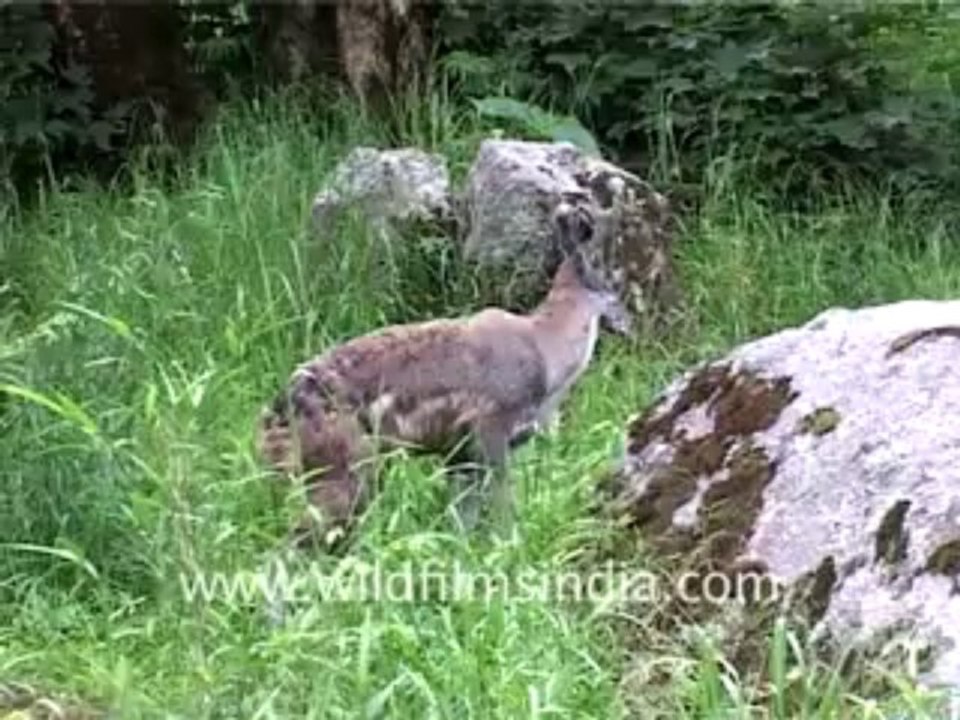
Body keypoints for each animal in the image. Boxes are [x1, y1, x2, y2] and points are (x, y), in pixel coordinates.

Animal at [256, 200, 633, 552]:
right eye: (614, 286)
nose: (627, 321)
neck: (547, 353)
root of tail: (271, 422)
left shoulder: (459, 453)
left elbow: (461, 521)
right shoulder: (490, 428)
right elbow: (502, 508)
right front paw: (510, 546)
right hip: (347, 463)